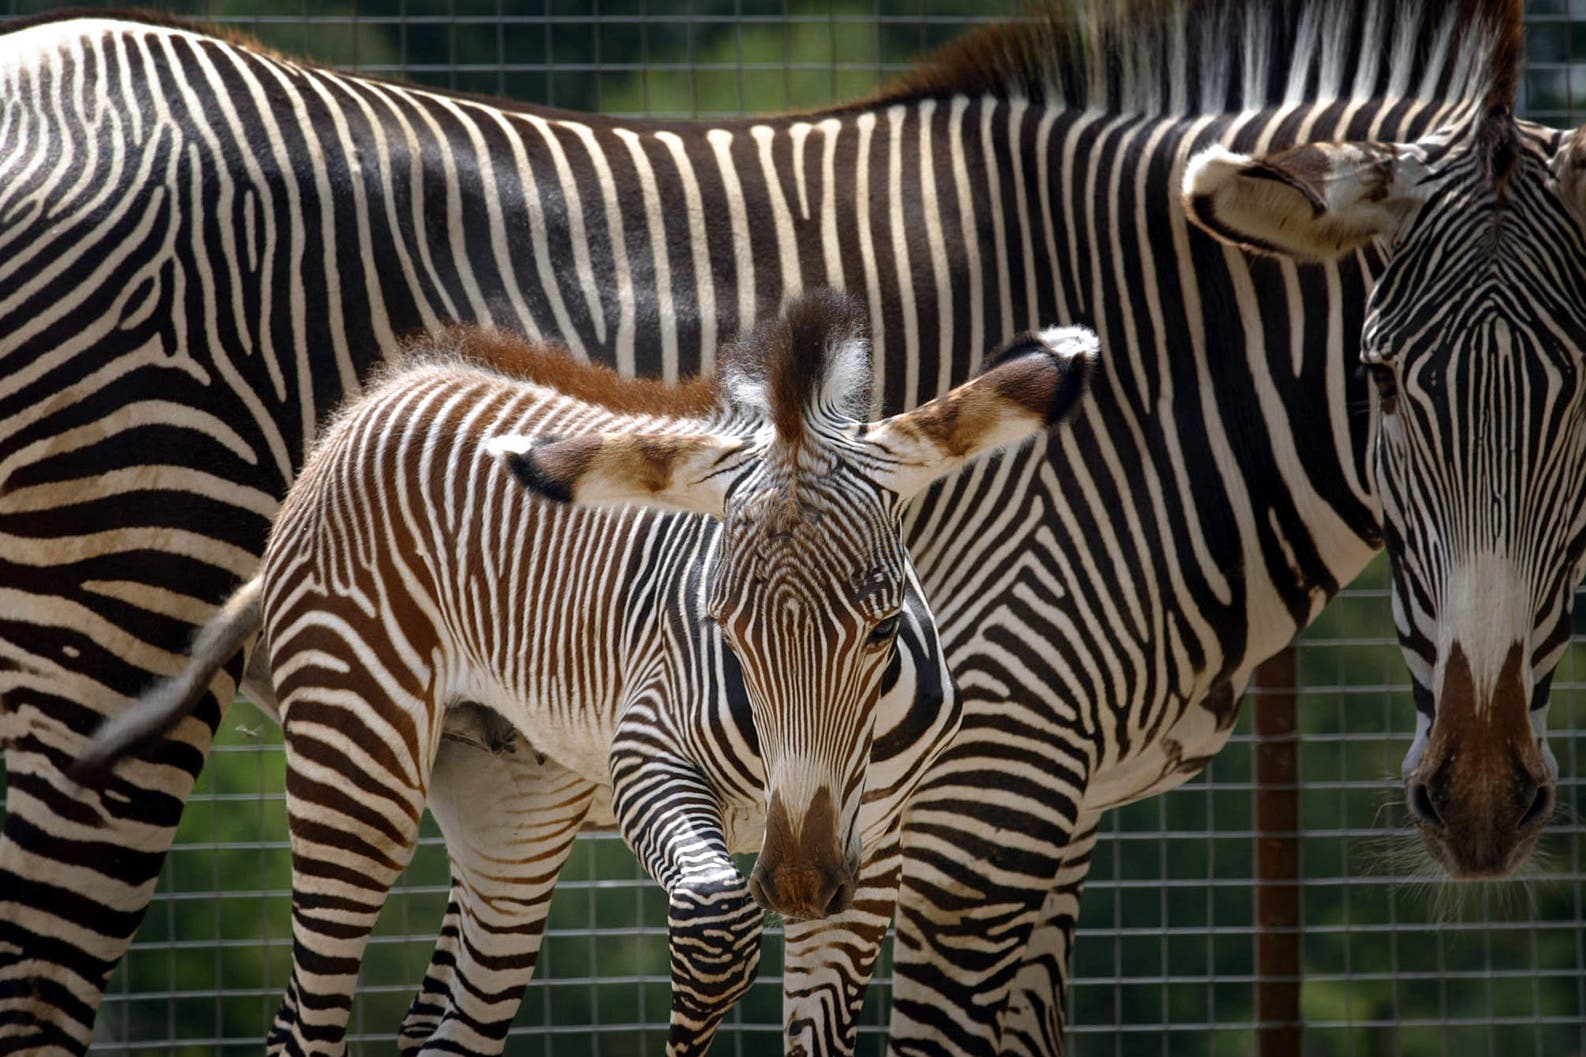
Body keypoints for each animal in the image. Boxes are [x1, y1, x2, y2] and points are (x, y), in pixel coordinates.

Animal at [83, 290, 1103, 1053]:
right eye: (723, 629)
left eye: (885, 628)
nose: (797, 883)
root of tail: (380, 396)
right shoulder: (650, 752)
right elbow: (716, 923)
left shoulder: (874, 844)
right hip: (356, 755)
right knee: (306, 1020)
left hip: (513, 805)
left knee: (449, 1029)